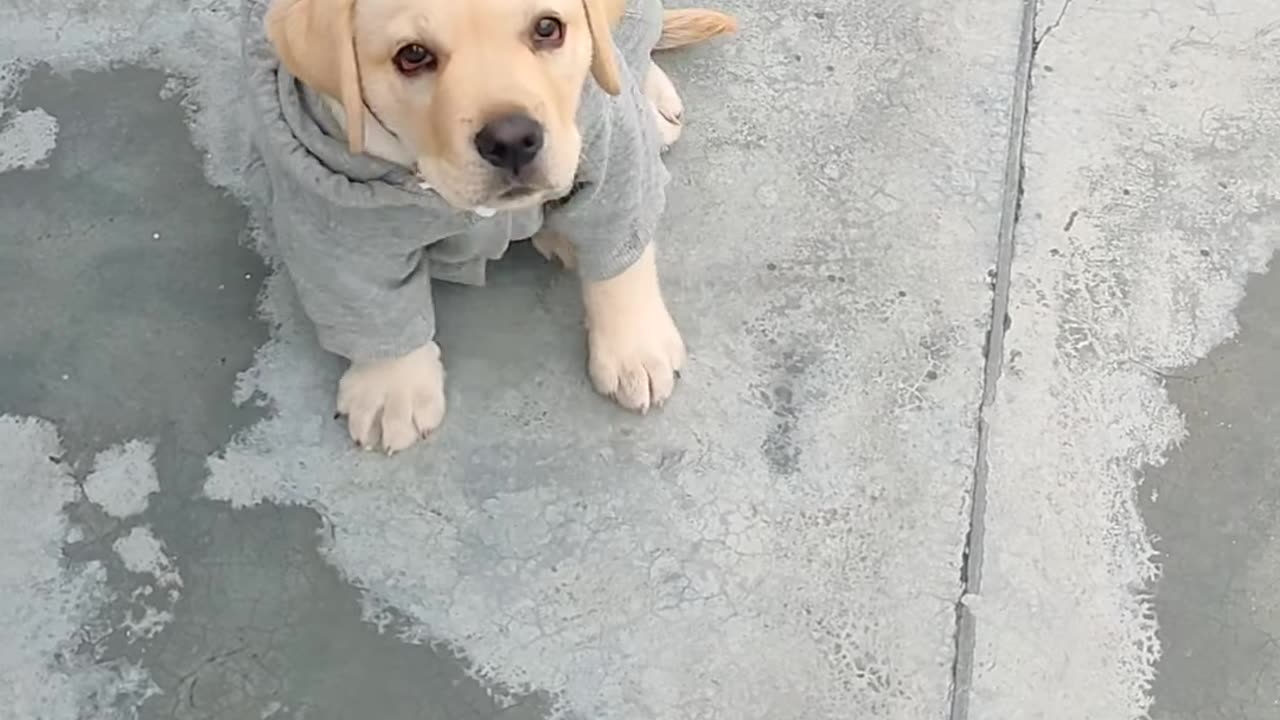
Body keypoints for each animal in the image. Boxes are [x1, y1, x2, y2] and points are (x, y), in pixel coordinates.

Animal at [244, 0, 737, 450]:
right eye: (413, 55)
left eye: (547, 29)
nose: (513, 140)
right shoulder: (336, 212)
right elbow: (372, 308)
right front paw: (392, 388)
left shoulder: (613, 152)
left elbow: (620, 264)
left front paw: (634, 348)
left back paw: (653, 105)